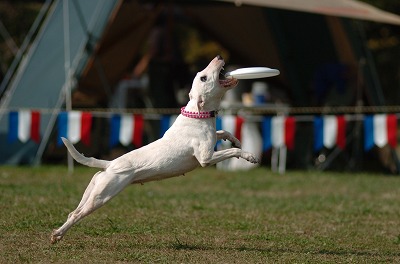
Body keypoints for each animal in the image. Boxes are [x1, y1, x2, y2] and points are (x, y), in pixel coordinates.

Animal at [51, 55, 260, 243]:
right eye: (203, 77)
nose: (218, 57)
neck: (198, 114)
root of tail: (110, 164)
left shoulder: (211, 140)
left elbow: (223, 132)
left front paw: (235, 140)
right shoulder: (206, 158)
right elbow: (231, 152)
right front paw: (249, 156)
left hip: (93, 190)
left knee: (73, 212)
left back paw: (58, 234)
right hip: (102, 195)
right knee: (77, 215)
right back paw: (56, 235)